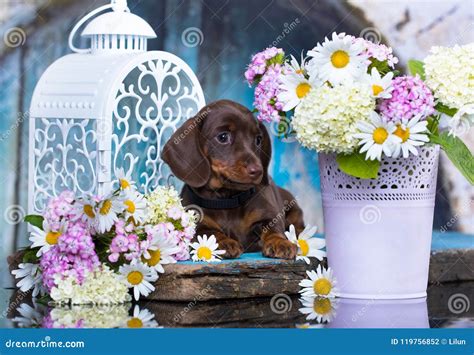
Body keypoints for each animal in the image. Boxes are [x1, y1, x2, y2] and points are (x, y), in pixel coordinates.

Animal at [161, 98, 306, 260]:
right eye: (223, 137)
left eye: (258, 139)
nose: (258, 171)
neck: (227, 199)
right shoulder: (197, 223)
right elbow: (209, 233)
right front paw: (224, 242)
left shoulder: (269, 216)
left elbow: (273, 230)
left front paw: (279, 242)